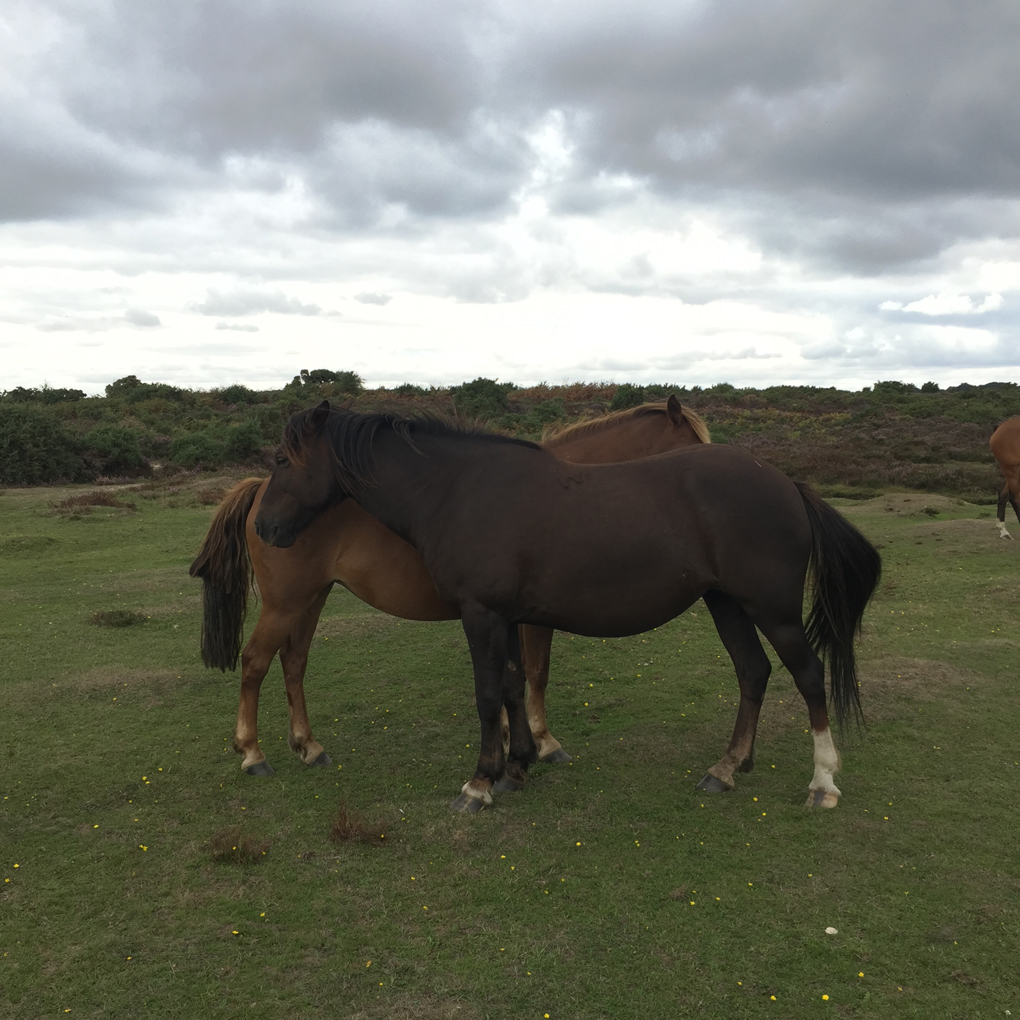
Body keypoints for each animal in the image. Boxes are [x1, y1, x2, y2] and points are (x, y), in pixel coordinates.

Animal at [189, 395, 709, 771]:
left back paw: (308, 746)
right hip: (286, 603)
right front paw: (540, 742)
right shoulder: (528, 618)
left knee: (293, 663)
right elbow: (535, 674)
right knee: (255, 662)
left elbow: (517, 677)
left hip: (310, 598)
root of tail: (257, 495)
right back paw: (252, 752)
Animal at [257, 403, 885, 811]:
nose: (265, 528)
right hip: (727, 604)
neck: (457, 490)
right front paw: (517, 766)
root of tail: (786, 484)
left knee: (808, 676)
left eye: (284, 460)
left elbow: (489, 694)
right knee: (753, 673)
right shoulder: (507, 618)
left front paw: (480, 783)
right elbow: (514, 687)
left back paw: (823, 784)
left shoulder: (482, 615)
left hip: (771, 609)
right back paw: (726, 769)